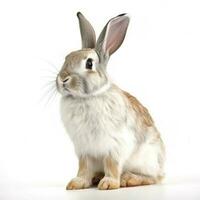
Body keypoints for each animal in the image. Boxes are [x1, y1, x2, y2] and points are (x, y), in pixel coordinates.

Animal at [55, 11, 165, 190]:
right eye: (66, 57)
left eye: (89, 63)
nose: (62, 79)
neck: (86, 97)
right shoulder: (83, 149)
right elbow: (84, 167)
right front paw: (77, 183)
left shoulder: (114, 145)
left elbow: (112, 164)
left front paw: (109, 184)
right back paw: (96, 177)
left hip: (147, 160)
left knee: (154, 178)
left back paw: (128, 179)